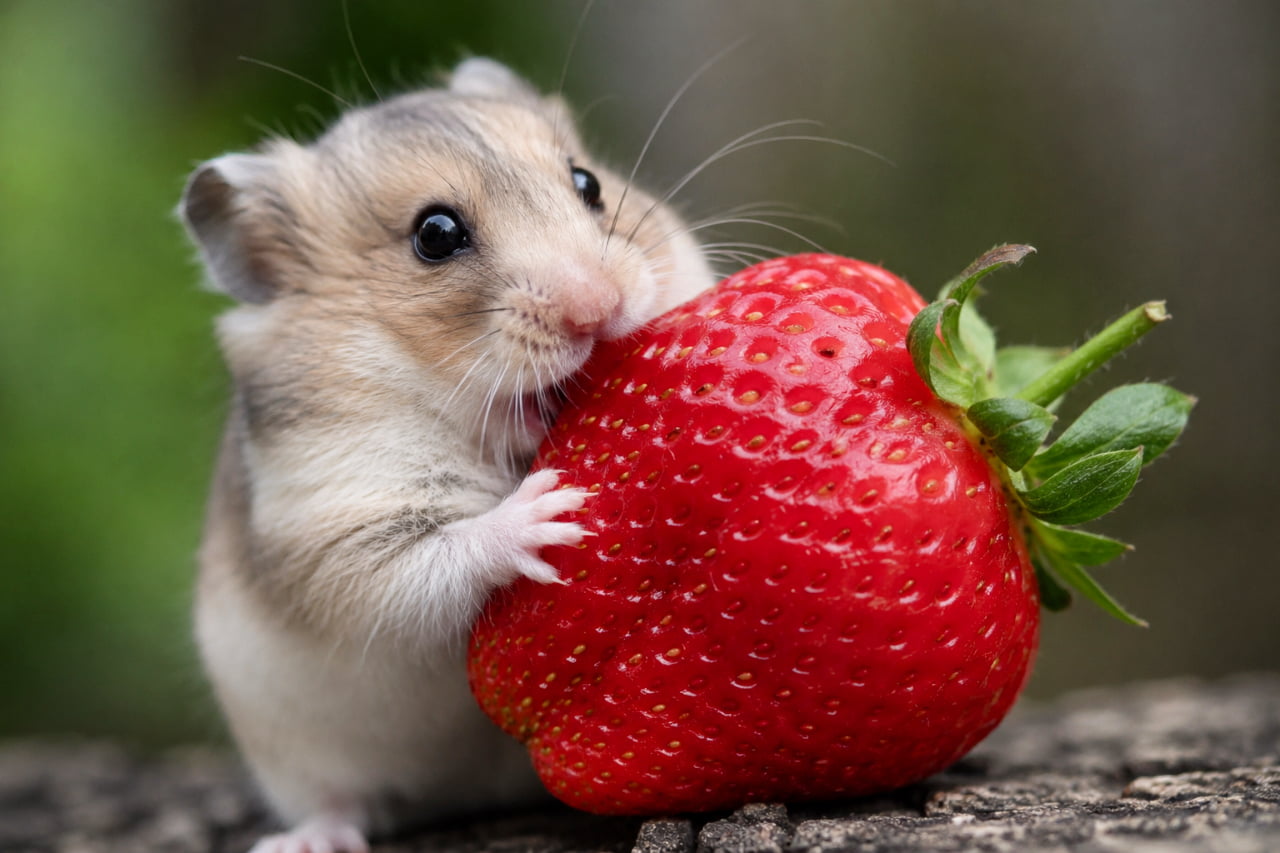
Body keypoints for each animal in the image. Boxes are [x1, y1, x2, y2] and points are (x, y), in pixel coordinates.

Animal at [180, 58, 715, 853]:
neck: (495, 442)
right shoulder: (339, 534)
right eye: (435, 235)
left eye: (587, 182)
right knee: (343, 801)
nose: (599, 307)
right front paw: (550, 513)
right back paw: (307, 839)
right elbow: (434, 557)